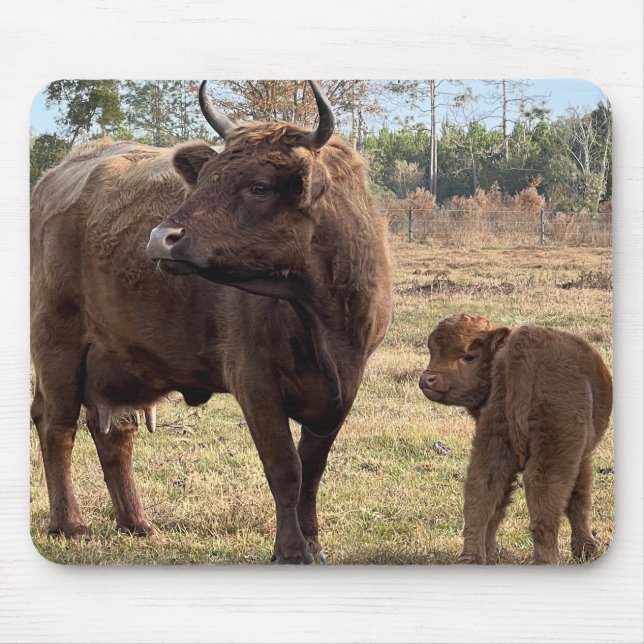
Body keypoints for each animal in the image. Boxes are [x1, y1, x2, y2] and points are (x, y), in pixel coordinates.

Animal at [30, 81, 393, 564]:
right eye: (205, 179)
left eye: (259, 186)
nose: (160, 239)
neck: (321, 315)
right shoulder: (255, 382)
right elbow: (285, 469)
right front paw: (290, 549)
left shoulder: (344, 387)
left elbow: (313, 468)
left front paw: (313, 542)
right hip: (56, 342)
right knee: (57, 426)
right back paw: (70, 524)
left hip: (117, 356)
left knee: (115, 434)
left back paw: (136, 523)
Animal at [418, 314, 612, 564]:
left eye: (469, 356)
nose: (427, 379)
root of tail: (528, 341)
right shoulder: (582, 457)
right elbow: (578, 500)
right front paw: (587, 551)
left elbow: (498, 506)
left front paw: (491, 553)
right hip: (552, 453)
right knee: (543, 500)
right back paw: (547, 561)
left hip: (494, 441)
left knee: (480, 494)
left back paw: (473, 558)